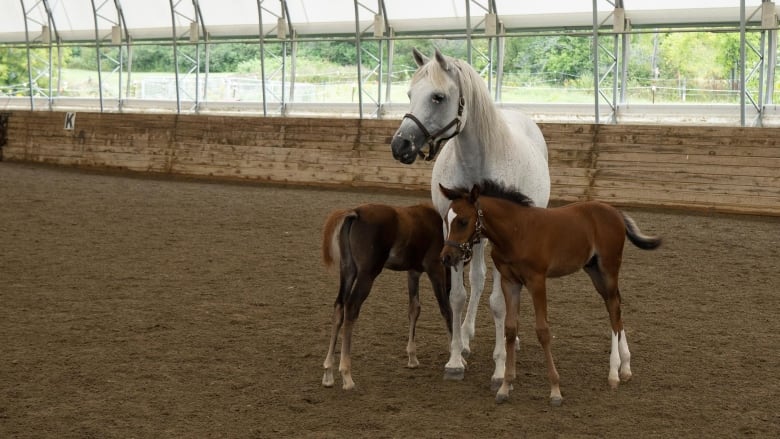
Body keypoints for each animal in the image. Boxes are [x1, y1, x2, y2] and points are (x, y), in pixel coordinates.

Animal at [388, 49, 548, 388]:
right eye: (409, 94)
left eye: (437, 97)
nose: (400, 145)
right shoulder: (452, 232)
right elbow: (458, 295)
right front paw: (455, 357)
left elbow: (499, 302)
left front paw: (500, 366)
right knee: (477, 279)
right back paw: (467, 334)